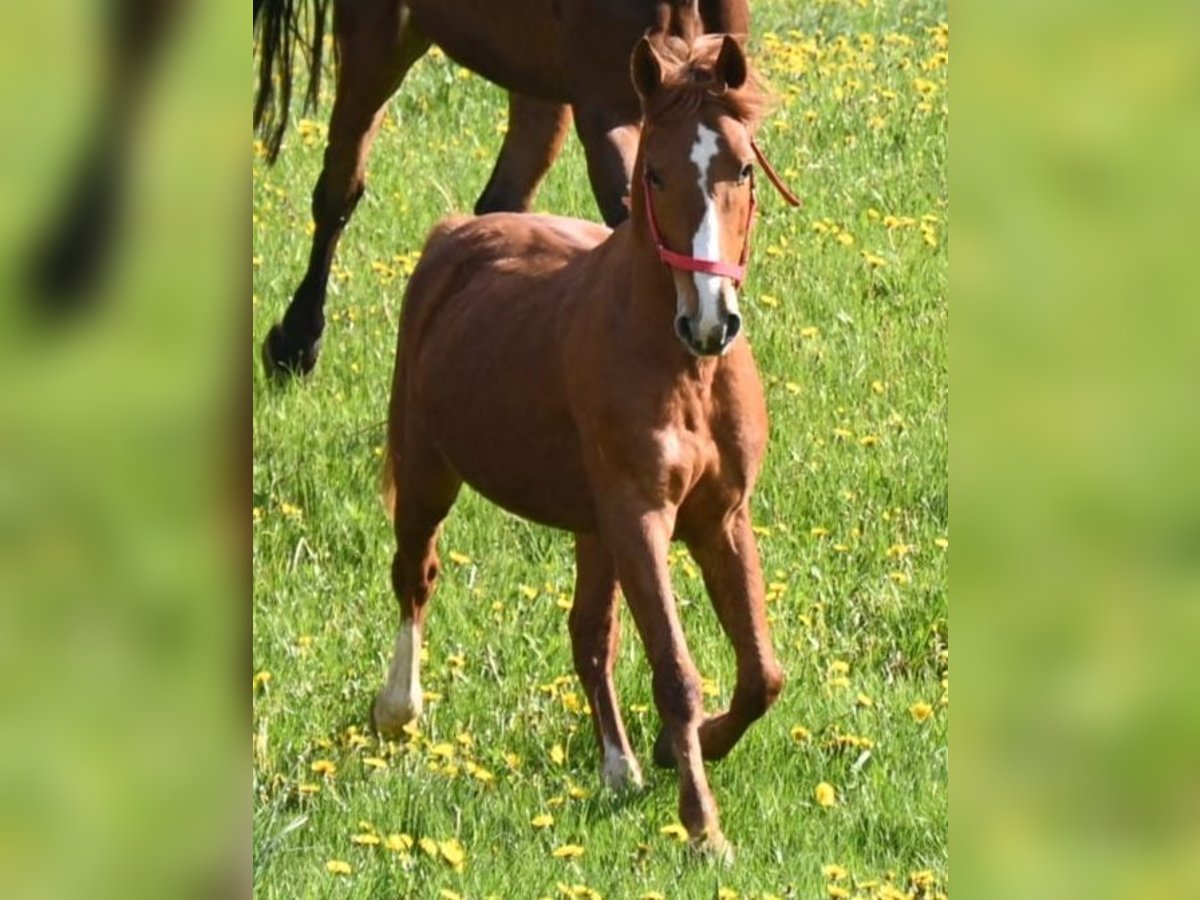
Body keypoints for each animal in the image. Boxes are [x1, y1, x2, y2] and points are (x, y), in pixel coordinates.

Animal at [369, 26, 792, 859]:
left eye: (740, 167)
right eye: (653, 171)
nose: (711, 320)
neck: (684, 370)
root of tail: (456, 233)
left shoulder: (719, 518)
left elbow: (762, 674)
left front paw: (675, 754)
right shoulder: (640, 517)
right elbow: (676, 673)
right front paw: (704, 829)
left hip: (593, 528)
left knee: (589, 634)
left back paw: (619, 767)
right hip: (431, 471)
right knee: (416, 574)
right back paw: (399, 708)